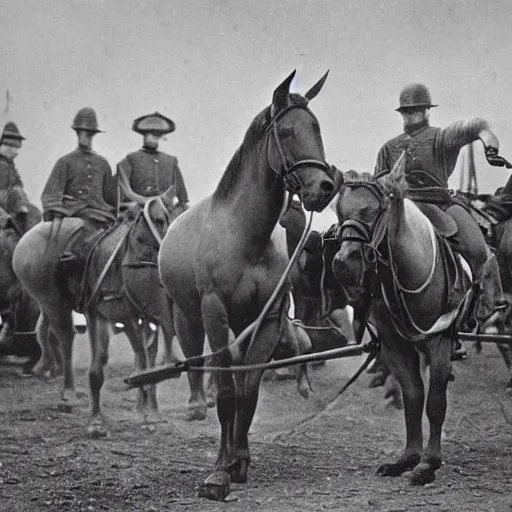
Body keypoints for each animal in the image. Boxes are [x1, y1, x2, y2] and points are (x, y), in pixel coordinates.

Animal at [12, 186, 182, 438]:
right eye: (158, 220)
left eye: (171, 218)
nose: (168, 254)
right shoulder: (103, 316)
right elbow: (101, 366)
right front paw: (96, 422)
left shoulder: (144, 318)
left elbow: (146, 361)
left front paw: (149, 413)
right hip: (53, 303)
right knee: (66, 339)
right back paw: (68, 394)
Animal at [158, 70, 342, 490]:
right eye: (287, 131)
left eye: (317, 128)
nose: (324, 188)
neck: (245, 237)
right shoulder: (215, 314)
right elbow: (227, 393)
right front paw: (219, 470)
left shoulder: (267, 321)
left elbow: (249, 391)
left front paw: (239, 461)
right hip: (189, 319)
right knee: (199, 367)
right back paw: (198, 406)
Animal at [332, 155, 472, 484]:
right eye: (340, 211)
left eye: (372, 209)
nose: (343, 265)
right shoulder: (395, 344)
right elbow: (413, 397)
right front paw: (408, 458)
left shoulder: (439, 341)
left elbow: (435, 403)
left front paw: (428, 464)